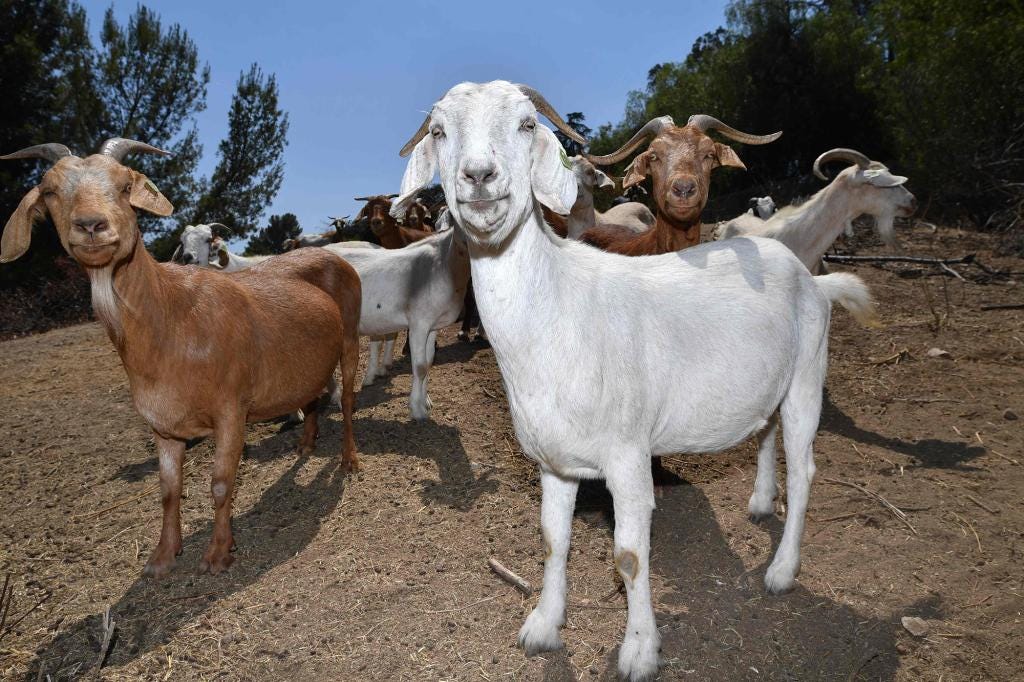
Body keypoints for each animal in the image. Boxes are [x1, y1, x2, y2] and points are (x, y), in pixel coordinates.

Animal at [1, 140, 364, 577]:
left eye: (126, 185)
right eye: (51, 191)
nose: (91, 225)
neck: (172, 317)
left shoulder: (231, 410)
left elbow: (221, 483)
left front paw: (219, 553)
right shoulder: (163, 425)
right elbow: (169, 491)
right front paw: (162, 556)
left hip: (350, 338)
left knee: (347, 401)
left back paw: (349, 460)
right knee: (311, 396)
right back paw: (307, 444)